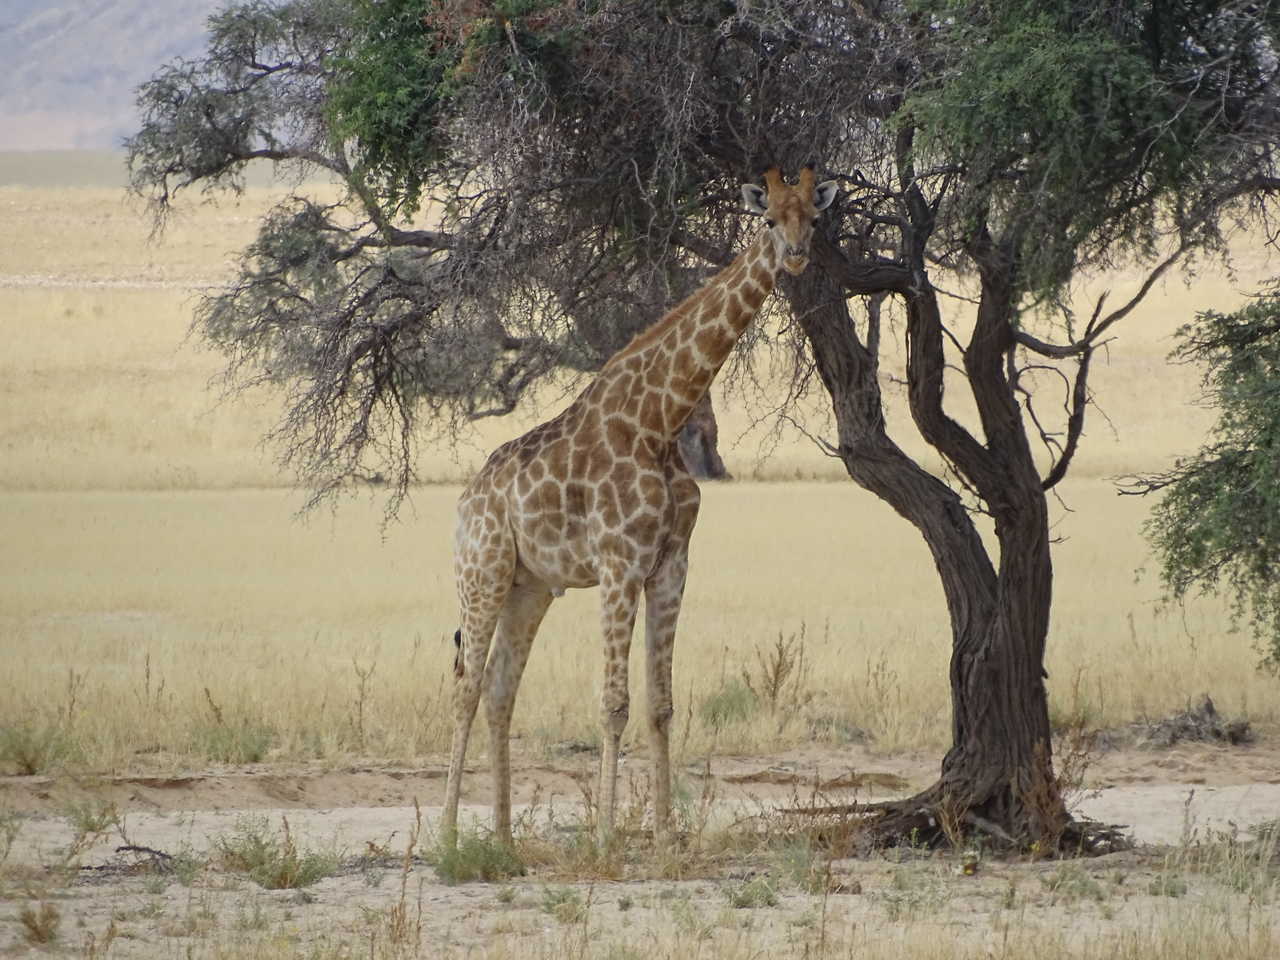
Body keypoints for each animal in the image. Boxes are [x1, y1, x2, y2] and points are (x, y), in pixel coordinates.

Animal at [440, 167, 839, 849]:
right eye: (767, 219)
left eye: (813, 216)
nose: (795, 255)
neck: (660, 420)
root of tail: (467, 501)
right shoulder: (618, 562)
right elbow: (613, 702)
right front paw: (605, 837)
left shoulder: (671, 563)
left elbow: (660, 703)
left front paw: (664, 834)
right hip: (483, 571)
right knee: (465, 687)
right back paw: (443, 836)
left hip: (529, 587)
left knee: (498, 690)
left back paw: (504, 838)